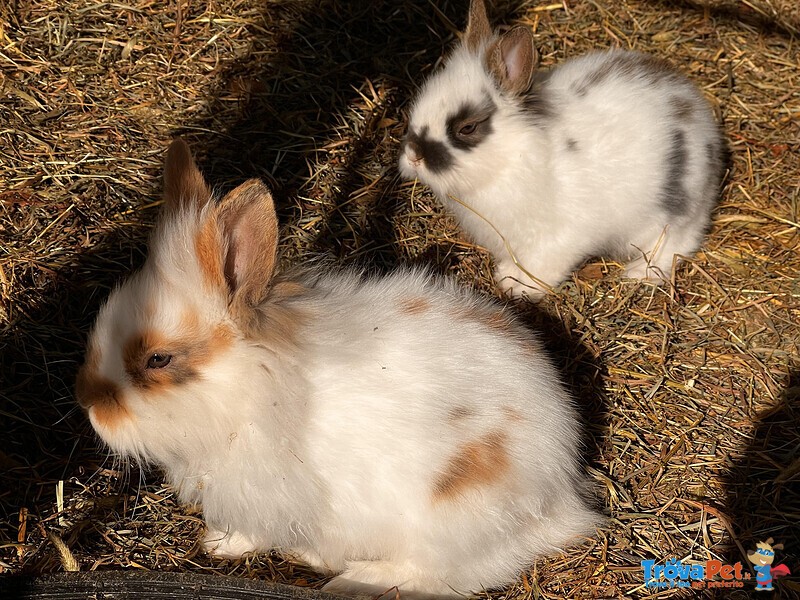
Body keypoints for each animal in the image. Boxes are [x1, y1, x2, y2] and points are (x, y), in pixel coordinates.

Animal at [76, 139, 600, 596]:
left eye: (157, 359)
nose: (89, 404)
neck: (250, 391)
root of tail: (559, 495)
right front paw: (217, 544)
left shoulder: (269, 496)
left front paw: (225, 546)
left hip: (450, 518)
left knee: (446, 574)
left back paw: (351, 578)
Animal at [396, 0, 728, 300]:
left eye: (467, 128)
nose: (413, 156)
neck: (510, 159)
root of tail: (704, 124)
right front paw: (506, 274)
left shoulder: (560, 237)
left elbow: (543, 266)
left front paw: (517, 286)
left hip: (673, 210)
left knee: (678, 243)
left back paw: (638, 273)